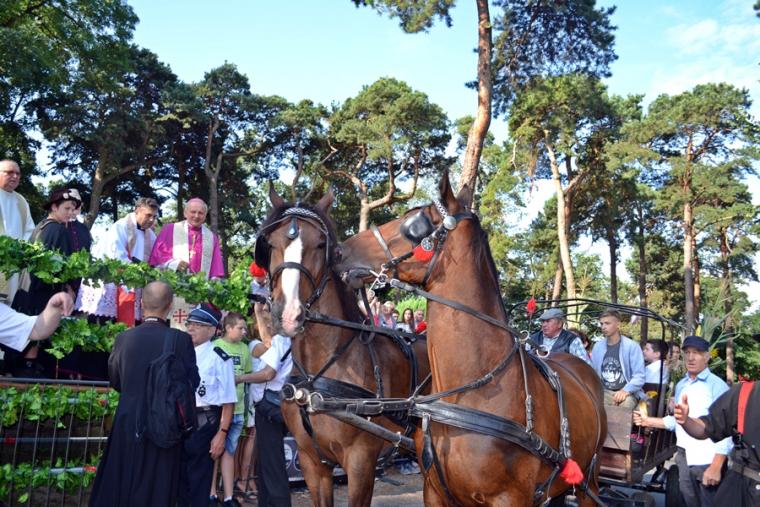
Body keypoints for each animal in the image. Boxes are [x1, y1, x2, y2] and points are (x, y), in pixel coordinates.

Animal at [255, 187, 430, 507]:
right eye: (270, 244)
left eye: (321, 244)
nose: (287, 314)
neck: (318, 375)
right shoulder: (313, 463)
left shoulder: (361, 463)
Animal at [336, 173, 606, 506]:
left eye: (414, 225)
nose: (340, 251)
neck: (468, 391)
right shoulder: (435, 491)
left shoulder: (509, 498)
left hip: (588, 479)